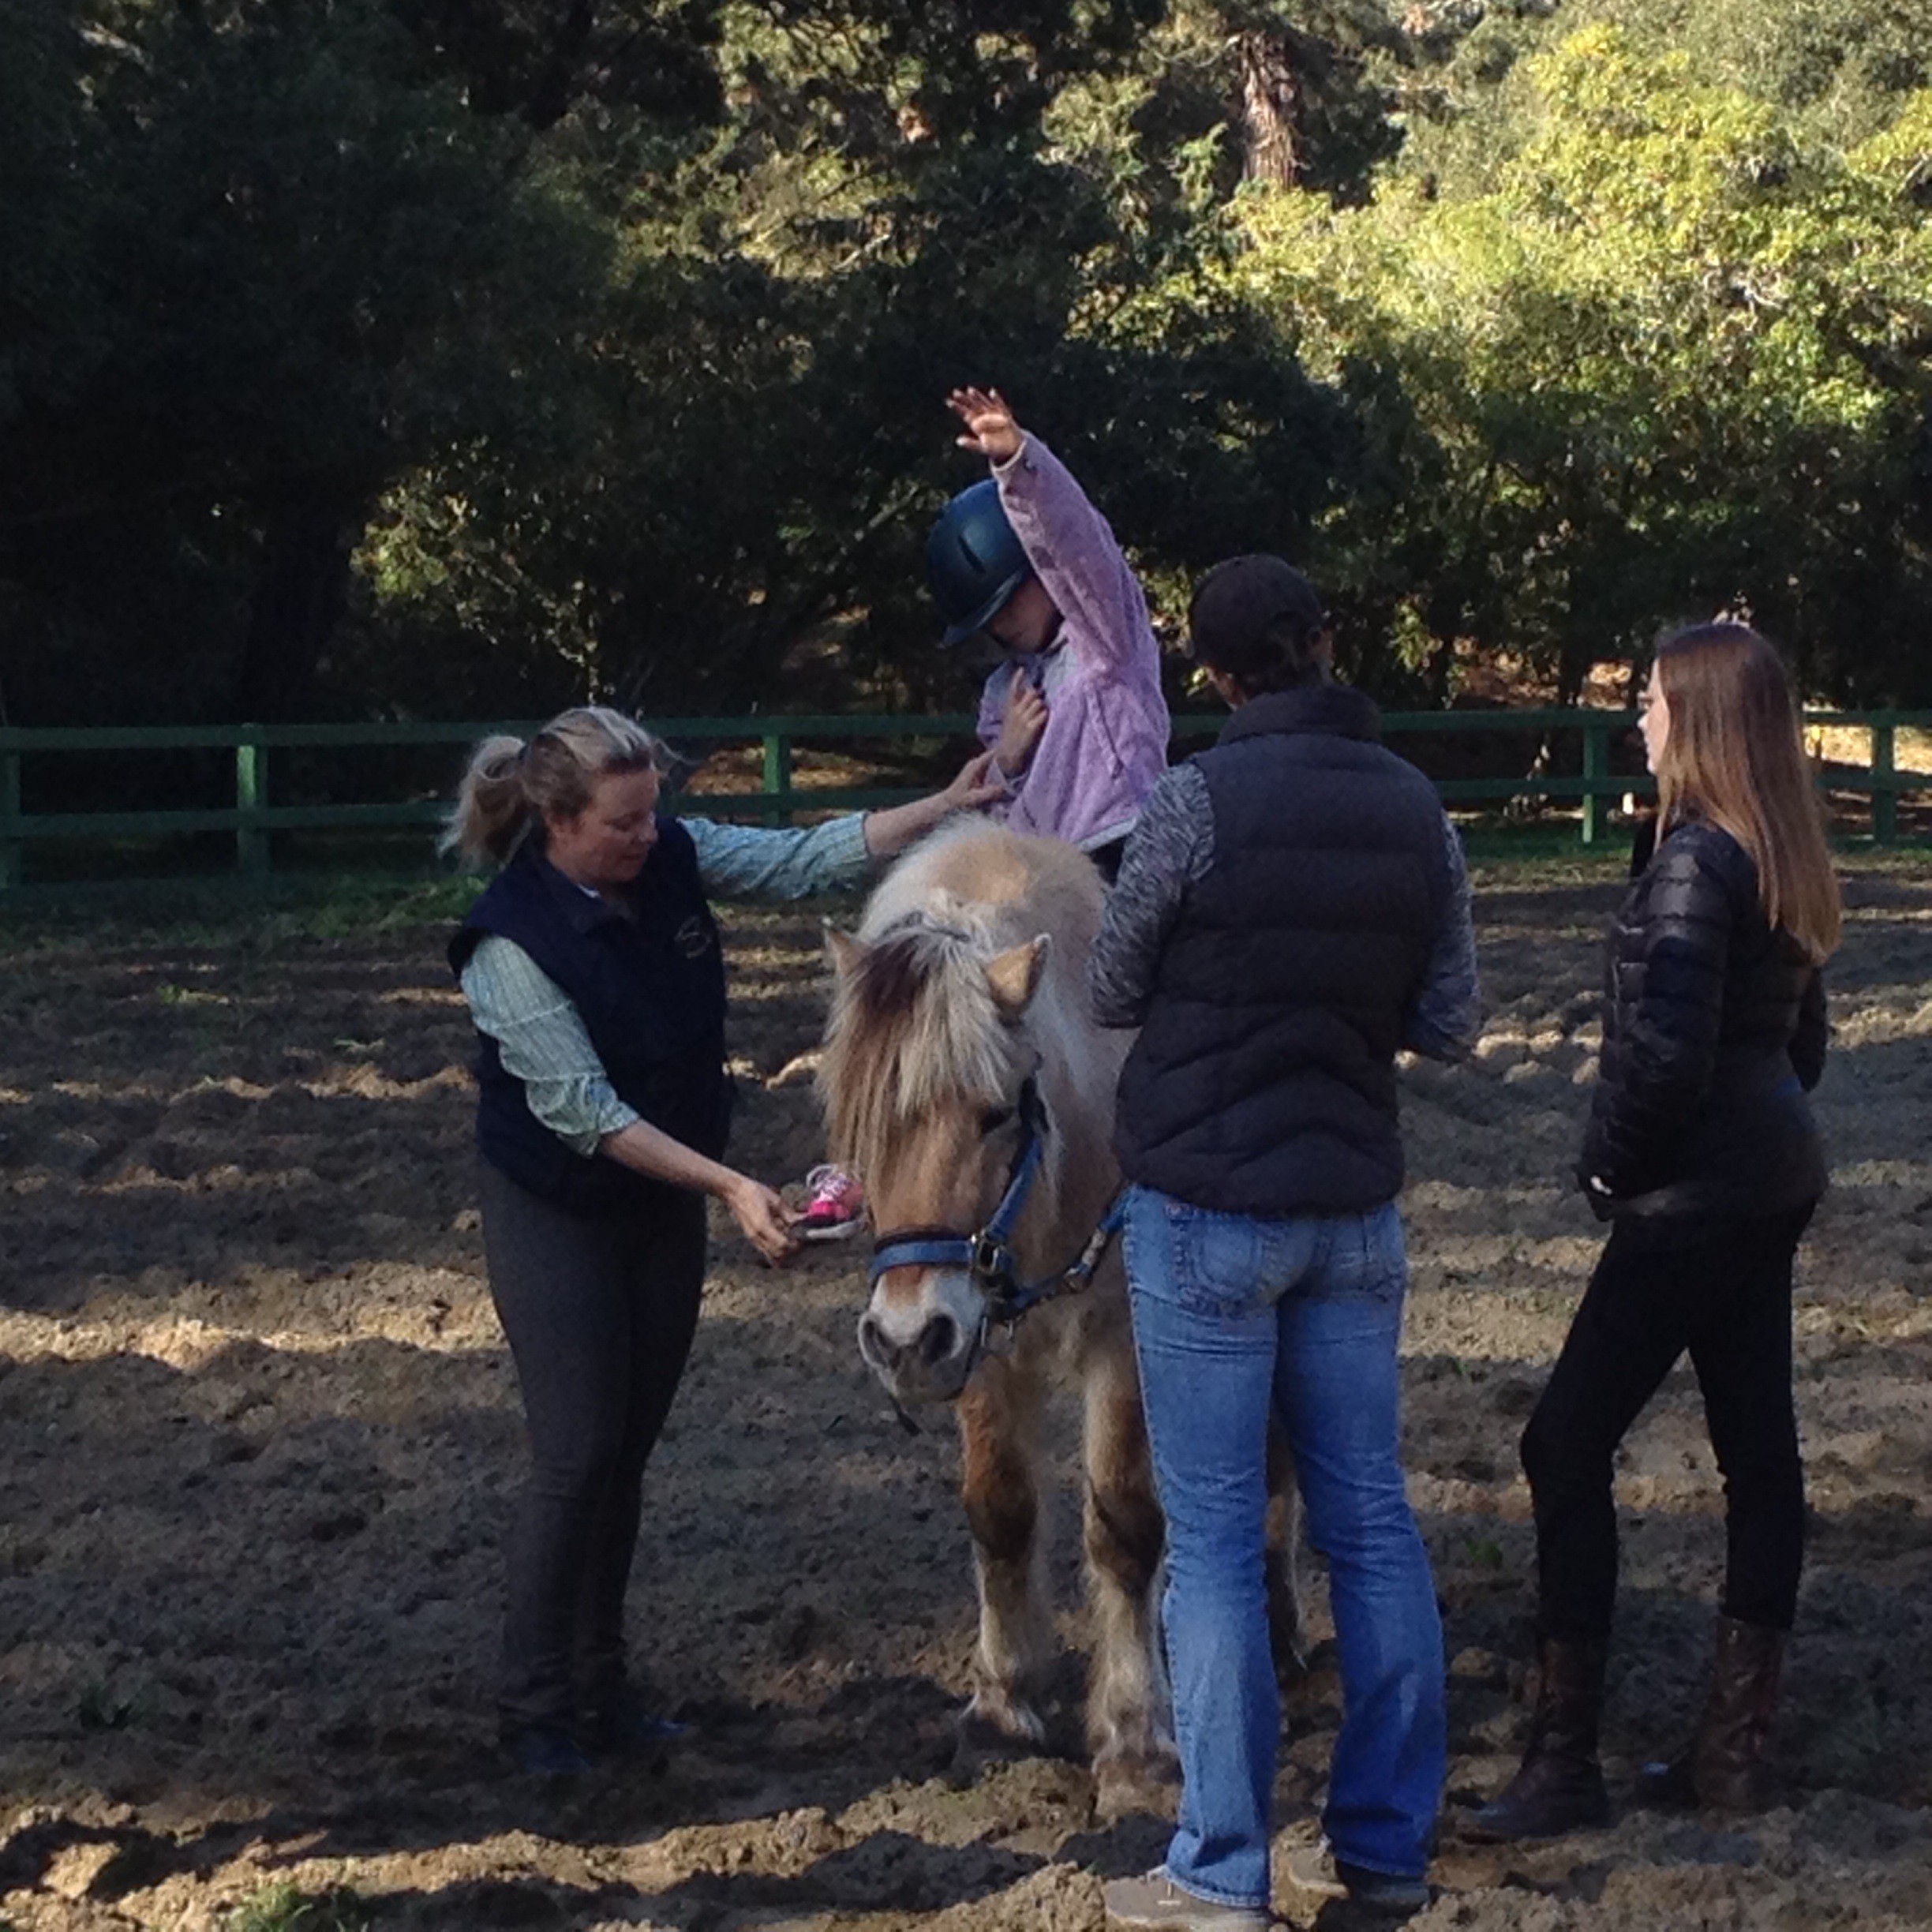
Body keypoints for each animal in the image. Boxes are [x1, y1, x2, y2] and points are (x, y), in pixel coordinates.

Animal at [818, 821, 1304, 1812]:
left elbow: (1123, 1524)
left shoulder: (1124, 1343)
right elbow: (1000, 1512)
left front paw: (1137, 1742)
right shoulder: (974, 1343)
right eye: (863, 1124)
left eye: (996, 1113)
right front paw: (1004, 1706)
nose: (898, 1340)